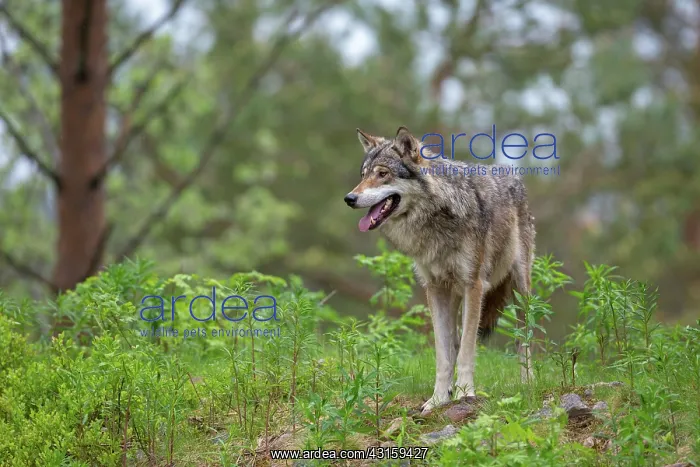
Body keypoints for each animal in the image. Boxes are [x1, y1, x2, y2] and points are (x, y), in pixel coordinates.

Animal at [344, 127, 536, 415]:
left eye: (383, 174)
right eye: (363, 175)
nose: (350, 198)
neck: (437, 216)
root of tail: (513, 176)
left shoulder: (473, 285)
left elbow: (467, 349)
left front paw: (465, 393)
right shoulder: (434, 289)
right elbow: (444, 355)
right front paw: (438, 400)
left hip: (520, 288)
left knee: (523, 337)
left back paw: (529, 382)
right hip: (455, 295)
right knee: (454, 342)